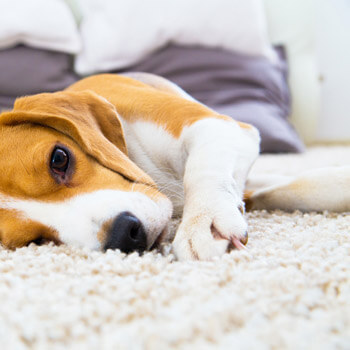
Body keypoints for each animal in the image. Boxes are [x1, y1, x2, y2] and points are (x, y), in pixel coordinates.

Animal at [0, 73, 348, 260]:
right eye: (34, 241)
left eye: (59, 158)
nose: (125, 235)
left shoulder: (216, 126)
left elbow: (204, 170)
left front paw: (204, 221)